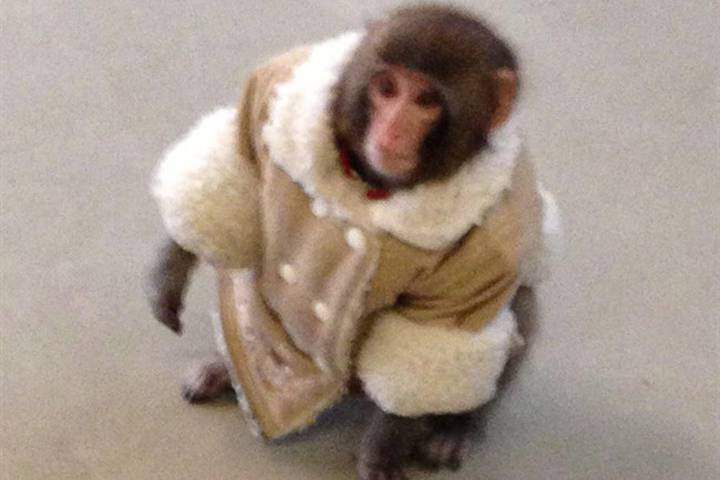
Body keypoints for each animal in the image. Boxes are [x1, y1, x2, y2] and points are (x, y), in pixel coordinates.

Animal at [146, 5, 561, 480]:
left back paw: (456, 427)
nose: (391, 130)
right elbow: (238, 166)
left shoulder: (488, 254)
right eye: (387, 88)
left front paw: (384, 449)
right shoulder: (270, 90)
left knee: (517, 314)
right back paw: (226, 368)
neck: (369, 184)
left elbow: (425, 345)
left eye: (426, 100)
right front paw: (170, 268)